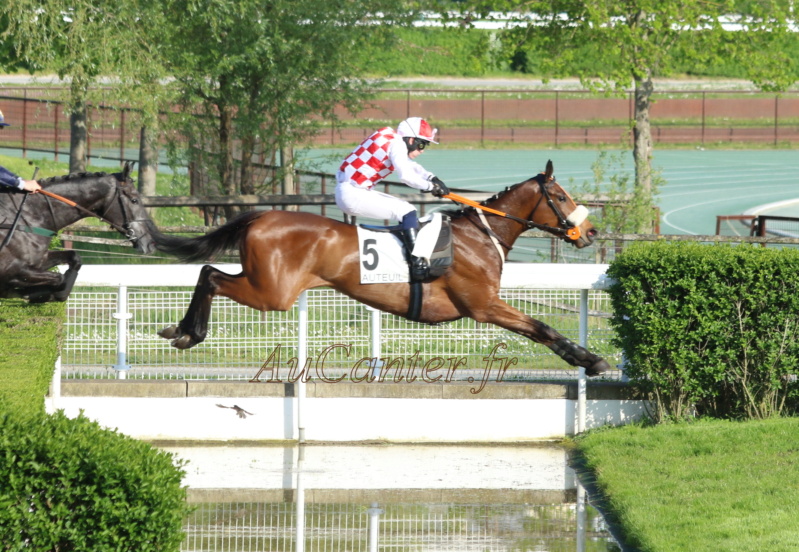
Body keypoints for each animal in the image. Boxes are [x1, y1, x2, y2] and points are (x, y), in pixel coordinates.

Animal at [0, 162, 158, 304]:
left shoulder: (39, 262)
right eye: (134, 200)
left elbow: (74, 259)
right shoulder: (13, 270)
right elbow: (59, 278)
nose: (149, 243)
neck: (29, 215)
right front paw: (45, 294)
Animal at [155, 160, 612, 376]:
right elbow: (542, 327)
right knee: (211, 276)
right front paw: (590, 359)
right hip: (273, 293)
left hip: (266, 286)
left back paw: (179, 329)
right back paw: (190, 333)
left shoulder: (484, 305)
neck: (480, 236)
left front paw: (587, 358)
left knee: (207, 273)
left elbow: (539, 328)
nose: (591, 231)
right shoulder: (483, 305)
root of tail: (260, 216)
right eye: (560, 195)